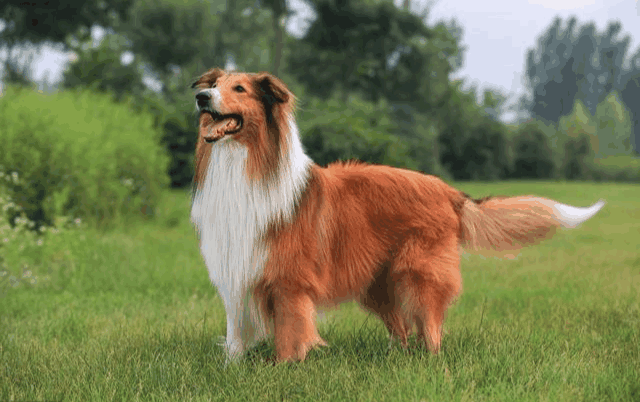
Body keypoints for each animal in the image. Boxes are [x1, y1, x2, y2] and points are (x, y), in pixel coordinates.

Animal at [190, 67, 604, 362]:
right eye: (216, 84)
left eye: (240, 89)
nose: (200, 96)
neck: (245, 165)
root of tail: (447, 190)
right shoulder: (237, 267)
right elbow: (235, 334)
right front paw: (232, 368)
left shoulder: (289, 280)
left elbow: (290, 334)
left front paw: (283, 368)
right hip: (378, 282)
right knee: (403, 329)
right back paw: (396, 359)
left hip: (419, 273)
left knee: (430, 328)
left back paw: (429, 363)